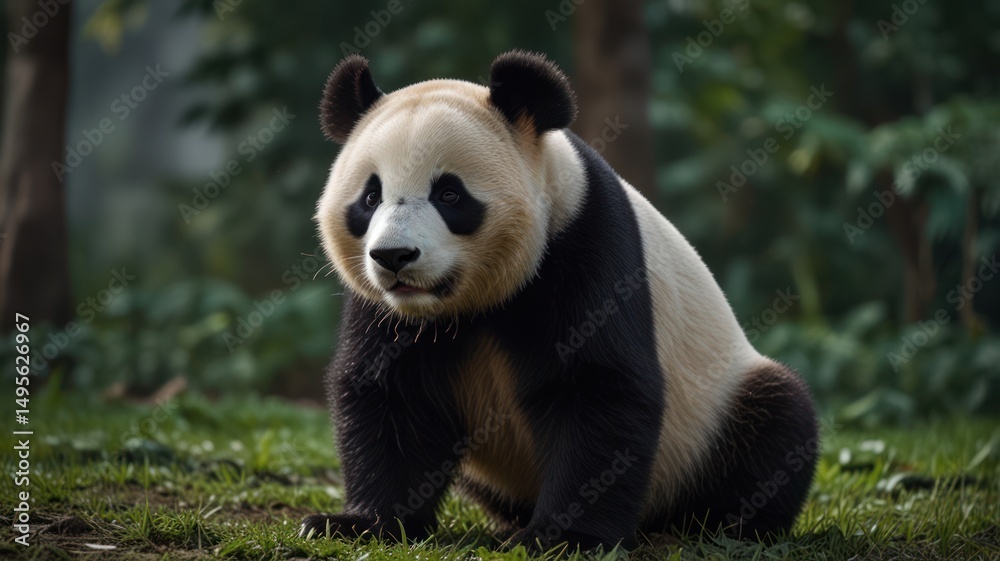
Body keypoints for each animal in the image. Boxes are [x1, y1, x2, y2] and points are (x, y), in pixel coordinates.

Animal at [301, 50, 818, 551]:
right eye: (370, 198)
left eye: (449, 194)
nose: (394, 256)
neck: (468, 307)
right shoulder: (384, 312)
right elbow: (390, 395)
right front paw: (358, 523)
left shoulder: (586, 243)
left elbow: (596, 388)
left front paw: (564, 536)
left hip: (713, 411)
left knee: (776, 424)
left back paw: (726, 522)